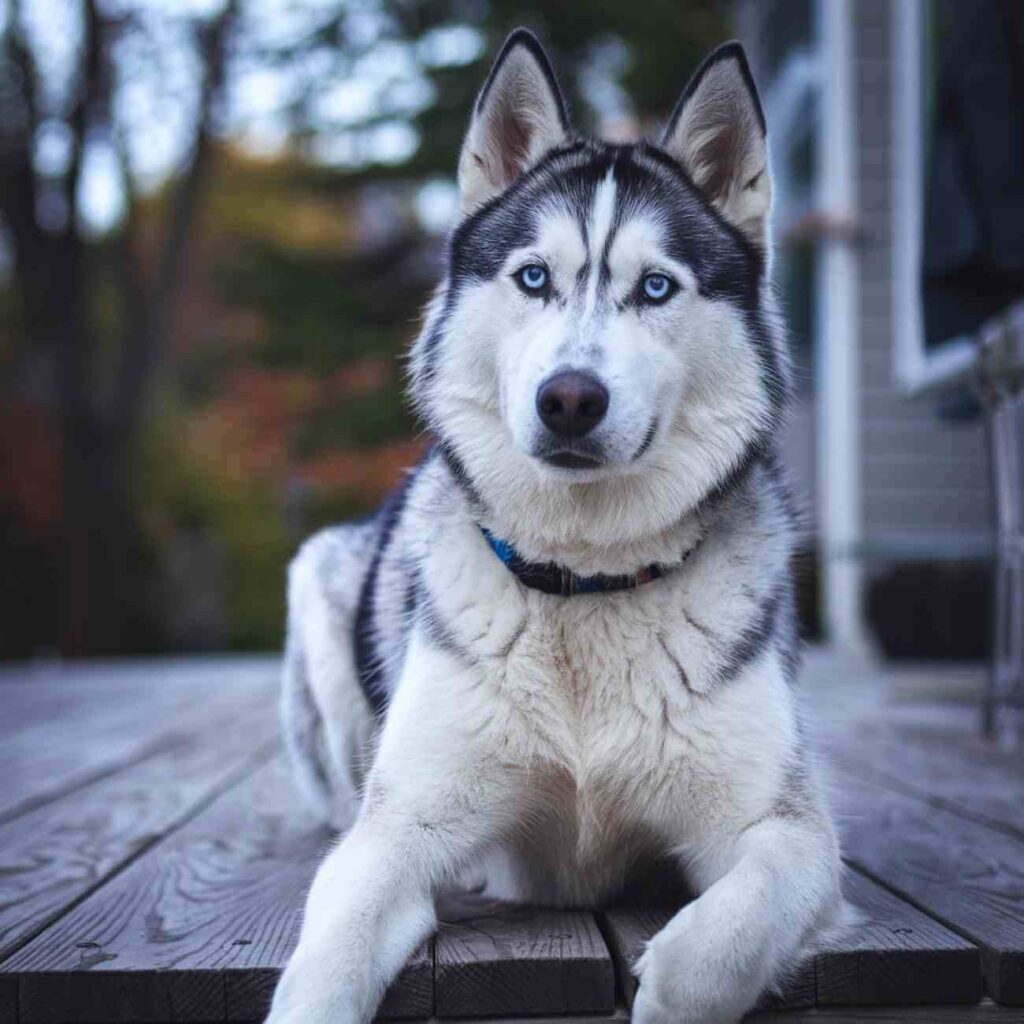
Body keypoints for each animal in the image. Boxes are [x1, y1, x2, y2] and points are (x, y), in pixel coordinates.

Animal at [268, 32, 843, 1024]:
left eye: (656, 288)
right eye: (534, 277)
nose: (570, 398)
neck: (586, 580)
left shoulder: (786, 831)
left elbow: (725, 937)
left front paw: (670, 985)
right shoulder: (396, 833)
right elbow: (330, 958)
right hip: (319, 593)